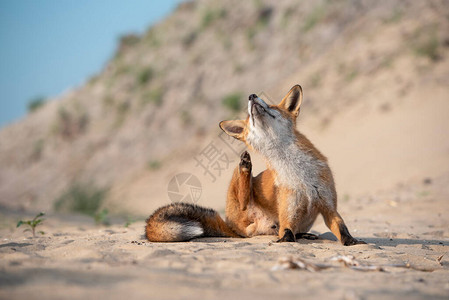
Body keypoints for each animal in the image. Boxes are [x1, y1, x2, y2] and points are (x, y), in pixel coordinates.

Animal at [146, 84, 364, 246]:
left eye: (272, 107)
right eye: (249, 118)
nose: (252, 95)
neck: (299, 175)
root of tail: (231, 226)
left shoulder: (327, 205)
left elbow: (341, 227)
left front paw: (352, 242)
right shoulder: (288, 208)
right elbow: (287, 232)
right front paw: (284, 241)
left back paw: (304, 235)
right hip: (239, 199)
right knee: (245, 197)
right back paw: (245, 167)